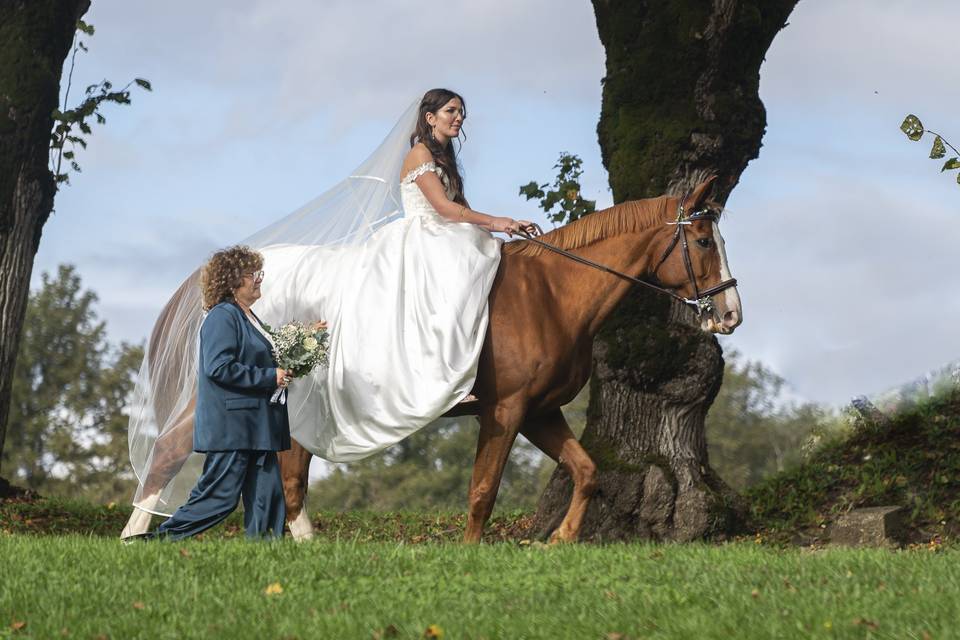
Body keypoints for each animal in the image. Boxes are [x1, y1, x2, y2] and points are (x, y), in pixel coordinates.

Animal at [122, 178, 744, 544]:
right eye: (704, 241)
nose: (730, 313)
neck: (549, 292)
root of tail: (220, 282)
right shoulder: (505, 410)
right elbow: (483, 489)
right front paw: (471, 554)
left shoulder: (540, 412)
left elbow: (587, 471)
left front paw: (559, 540)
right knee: (169, 453)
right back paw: (138, 534)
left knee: (289, 472)